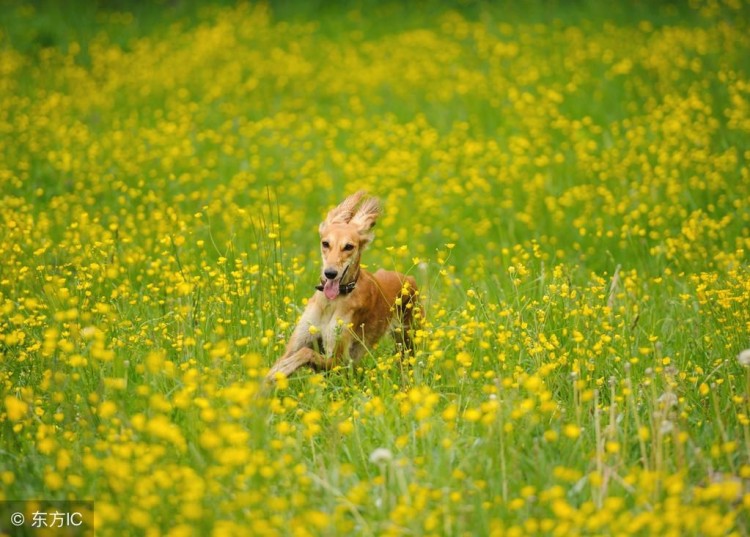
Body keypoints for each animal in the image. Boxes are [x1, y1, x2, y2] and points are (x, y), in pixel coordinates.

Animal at [268, 191, 424, 378]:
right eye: (325, 243)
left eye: (349, 246)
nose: (330, 273)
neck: (332, 302)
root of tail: (409, 278)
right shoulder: (297, 343)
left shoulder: (338, 361)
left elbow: (306, 353)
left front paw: (285, 368)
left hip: (409, 342)